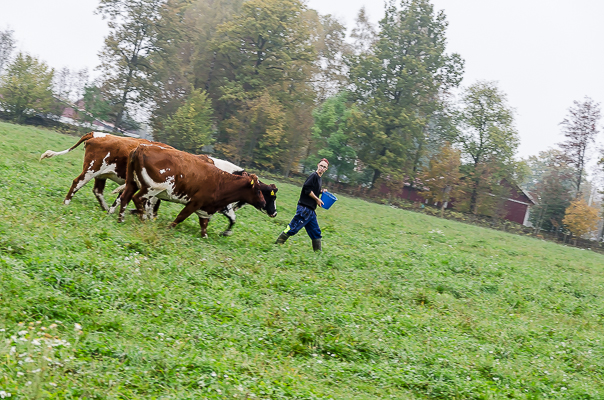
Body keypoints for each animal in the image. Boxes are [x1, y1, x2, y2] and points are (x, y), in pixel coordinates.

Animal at [108, 144, 266, 238]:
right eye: (258, 190)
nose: (264, 203)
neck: (220, 181)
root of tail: (141, 148)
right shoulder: (195, 202)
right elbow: (181, 216)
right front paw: (169, 228)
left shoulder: (205, 208)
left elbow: (204, 225)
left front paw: (205, 237)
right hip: (151, 188)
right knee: (137, 199)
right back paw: (143, 219)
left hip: (132, 183)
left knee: (125, 197)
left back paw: (121, 219)